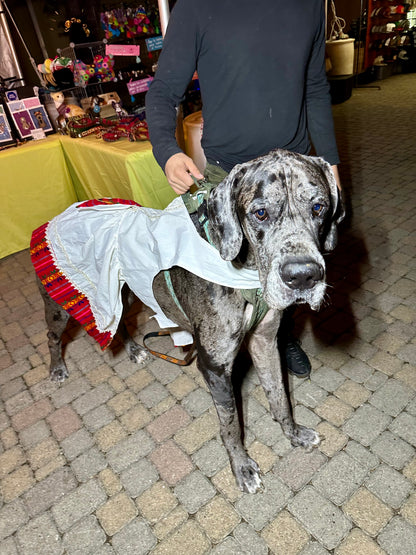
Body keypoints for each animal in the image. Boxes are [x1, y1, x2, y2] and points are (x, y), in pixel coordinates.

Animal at [37, 150, 344, 494]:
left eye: (318, 208)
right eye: (261, 213)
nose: (303, 276)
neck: (245, 271)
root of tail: (57, 217)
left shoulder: (264, 343)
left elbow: (279, 396)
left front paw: (293, 433)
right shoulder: (214, 366)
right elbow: (230, 423)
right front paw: (241, 468)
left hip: (123, 292)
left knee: (119, 322)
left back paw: (134, 350)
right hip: (61, 306)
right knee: (53, 336)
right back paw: (57, 368)